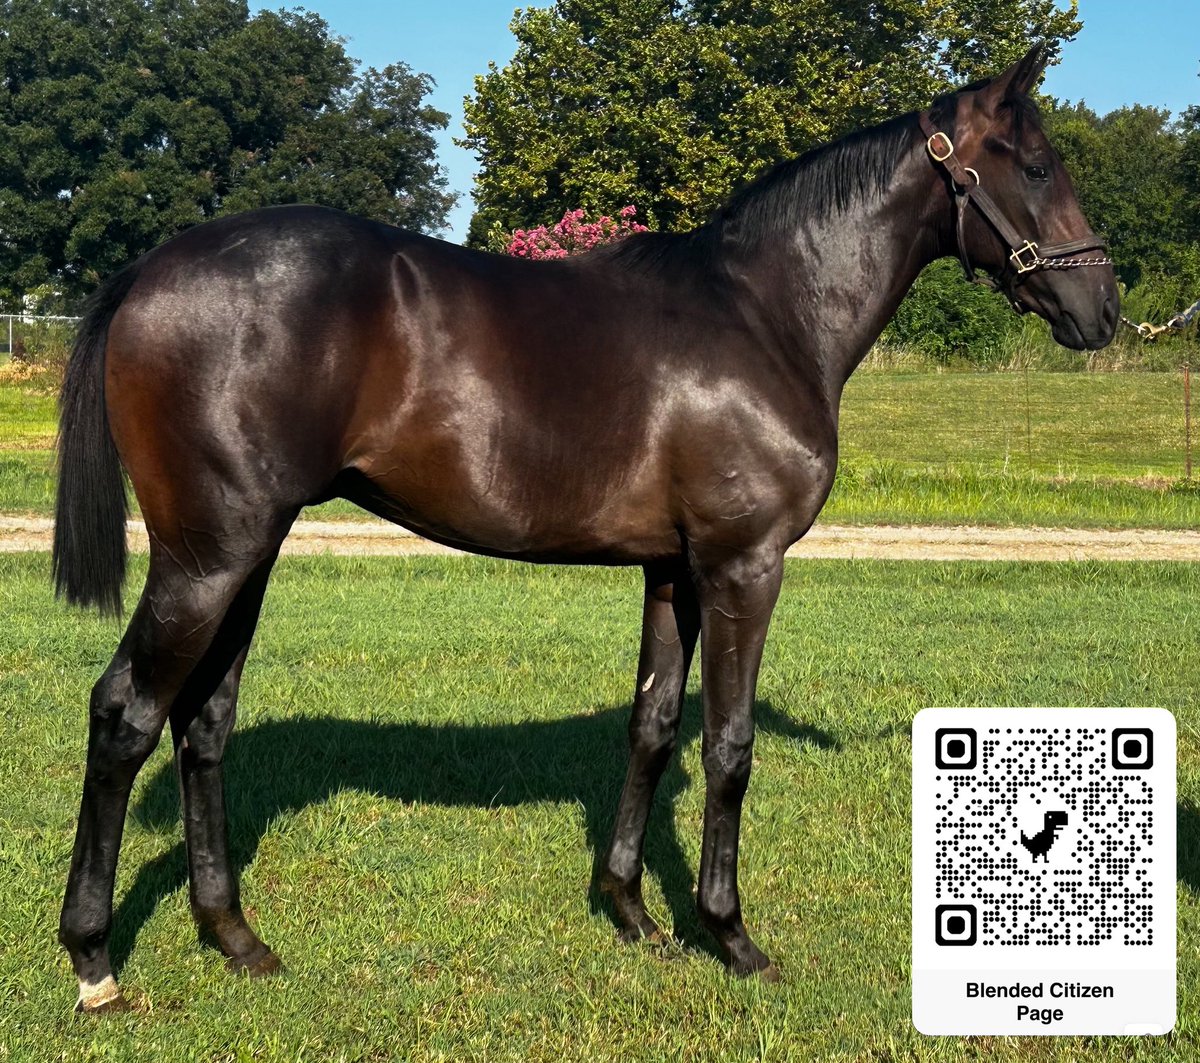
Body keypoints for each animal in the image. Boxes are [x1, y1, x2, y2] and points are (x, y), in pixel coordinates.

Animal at [53, 44, 1115, 1012]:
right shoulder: (743, 566)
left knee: (203, 723)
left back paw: (233, 934)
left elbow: (652, 726)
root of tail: (149, 268)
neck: (766, 312)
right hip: (207, 557)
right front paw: (731, 935)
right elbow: (728, 746)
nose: (1103, 308)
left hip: (248, 554)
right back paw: (95, 957)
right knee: (126, 714)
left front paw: (632, 910)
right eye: (1034, 166)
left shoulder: (673, 571)